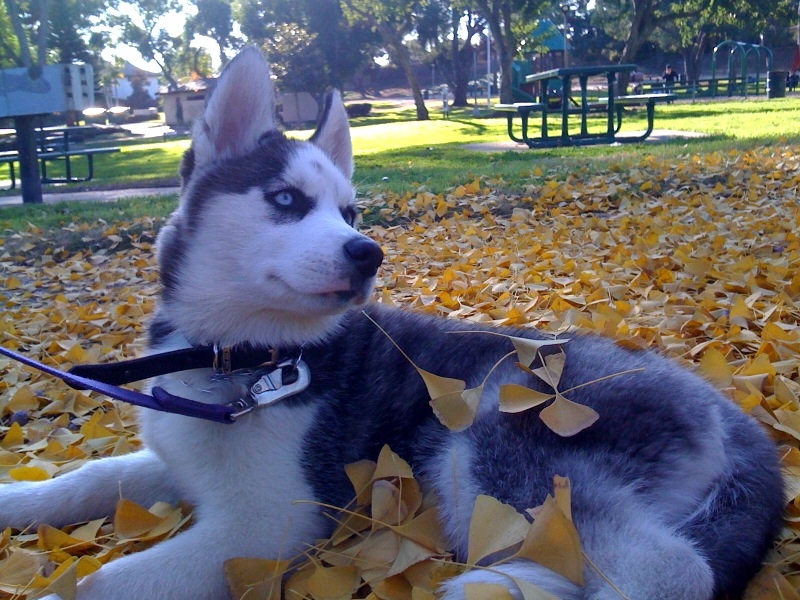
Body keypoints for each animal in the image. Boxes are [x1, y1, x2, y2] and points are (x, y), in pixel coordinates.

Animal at [0, 49, 784, 600]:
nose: (368, 252)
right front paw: (21, 497)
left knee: (671, 568)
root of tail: (727, 410)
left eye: (349, 212)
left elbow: (102, 581)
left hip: (500, 428)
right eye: (286, 200)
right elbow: (95, 475)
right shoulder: (181, 453)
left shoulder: (268, 521)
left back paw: (495, 589)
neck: (240, 359)